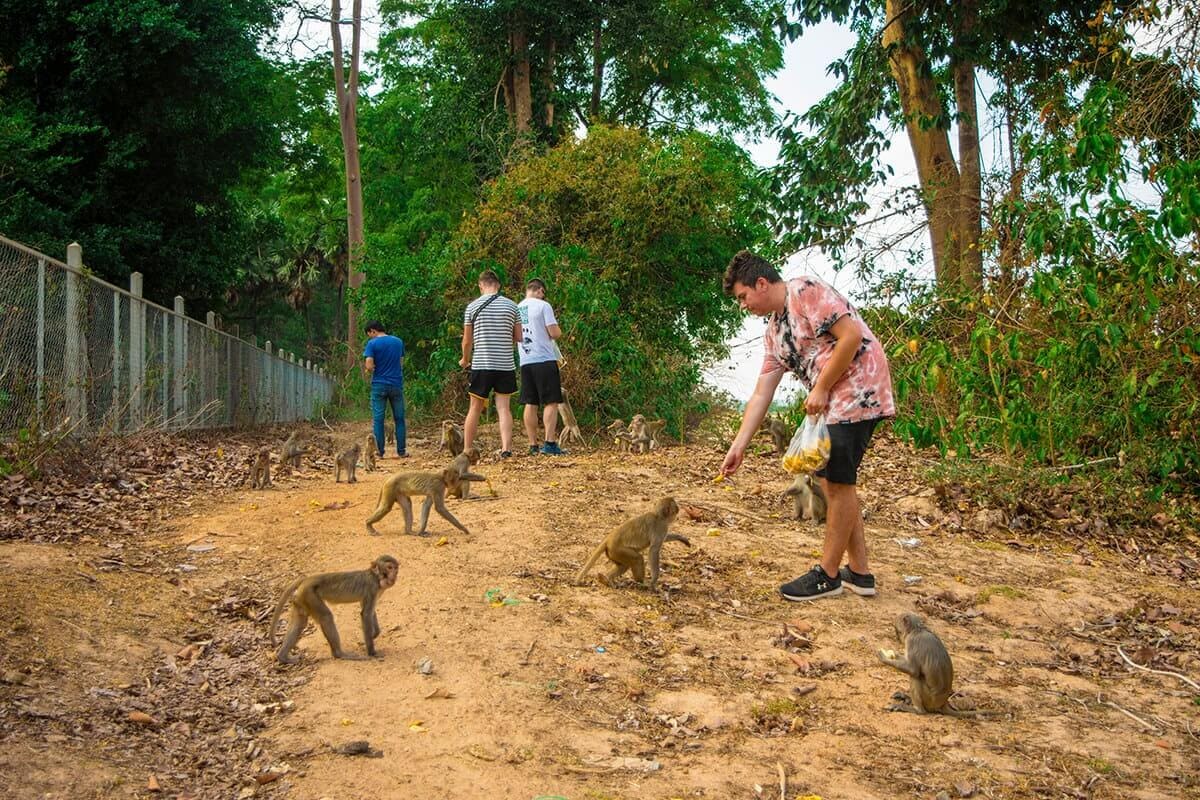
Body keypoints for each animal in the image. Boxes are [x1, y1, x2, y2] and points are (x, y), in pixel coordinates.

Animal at [269, 555, 399, 664]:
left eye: (396, 568)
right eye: (389, 567)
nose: (395, 575)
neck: (376, 577)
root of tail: (307, 579)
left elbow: (369, 611)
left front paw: (374, 634)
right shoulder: (372, 588)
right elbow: (366, 614)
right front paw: (372, 652)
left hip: (301, 598)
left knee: (300, 622)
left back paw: (283, 657)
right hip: (310, 595)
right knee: (326, 617)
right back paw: (340, 654)